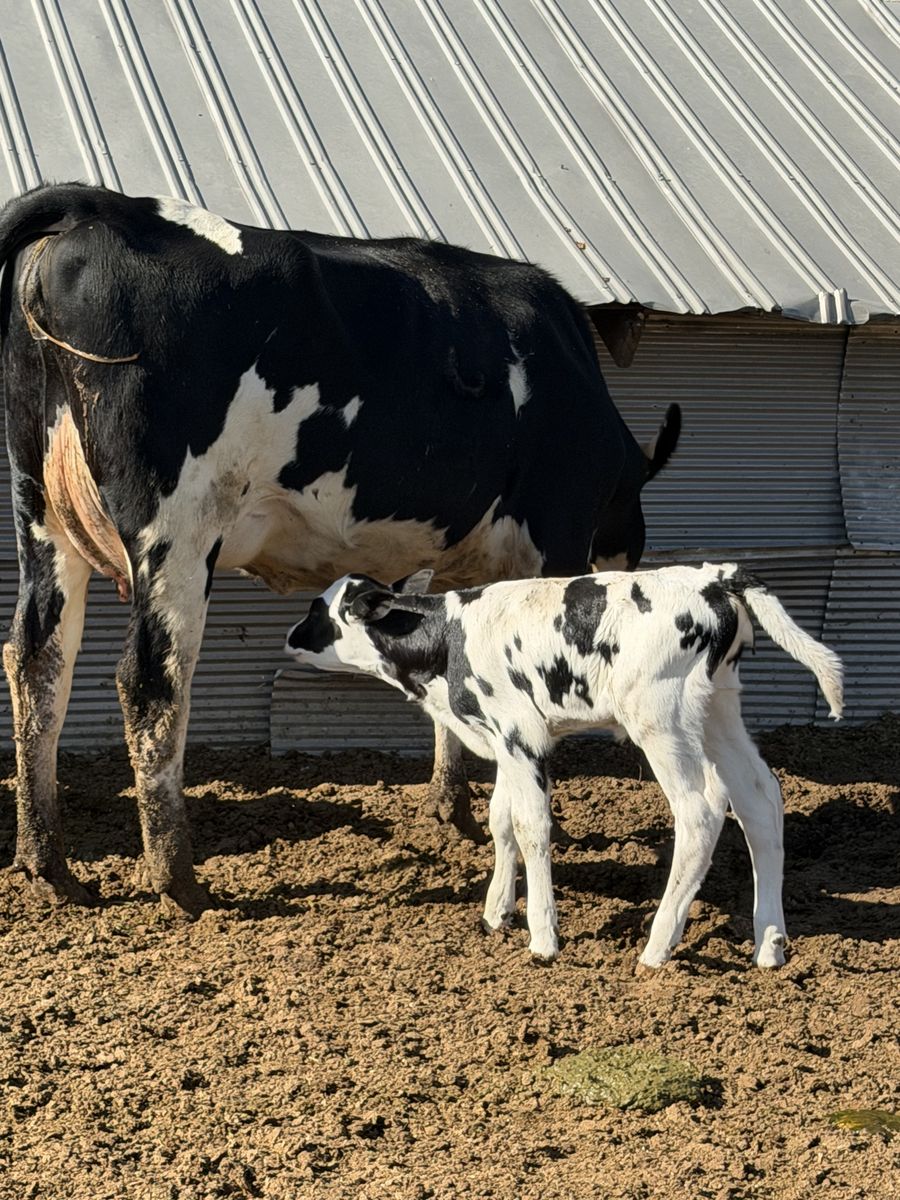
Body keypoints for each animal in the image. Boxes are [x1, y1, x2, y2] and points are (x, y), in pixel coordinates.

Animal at [0, 181, 679, 915]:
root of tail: (101, 203)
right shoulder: (557, 537)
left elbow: (453, 670)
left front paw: (452, 811)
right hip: (177, 530)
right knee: (151, 682)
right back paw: (178, 881)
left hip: (41, 516)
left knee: (37, 664)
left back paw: (48, 865)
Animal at [285, 565, 843, 967]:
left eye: (321, 610)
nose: (290, 637)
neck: (447, 640)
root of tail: (714, 577)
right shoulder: (505, 741)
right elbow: (501, 821)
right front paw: (497, 913)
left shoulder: (521, 734)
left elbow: (532, 828)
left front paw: (543, 937)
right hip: (718, 709)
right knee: (760, 799)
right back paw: (769, 945)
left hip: (659, 718)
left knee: (700, 812)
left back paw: (657, 948)